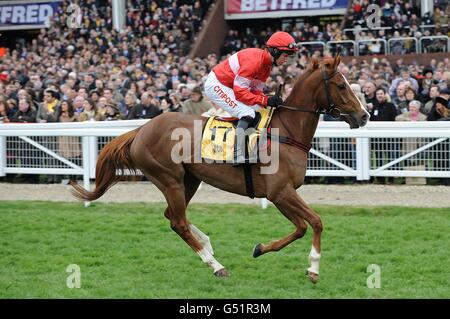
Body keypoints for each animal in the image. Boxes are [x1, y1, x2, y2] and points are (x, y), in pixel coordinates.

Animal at [71, 56, 370, 284]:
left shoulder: (283, 194)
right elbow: (314, 222)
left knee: (173, 216)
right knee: (178, 221)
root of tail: (141, 129)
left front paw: (260, 248)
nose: (365, 115)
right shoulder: (280, 192)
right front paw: (313, 268)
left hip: (188, 180)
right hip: (169, 179)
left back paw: (207, 245)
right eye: (341, 85)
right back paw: (215, 265)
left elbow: (300, 228)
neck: (286, 132)